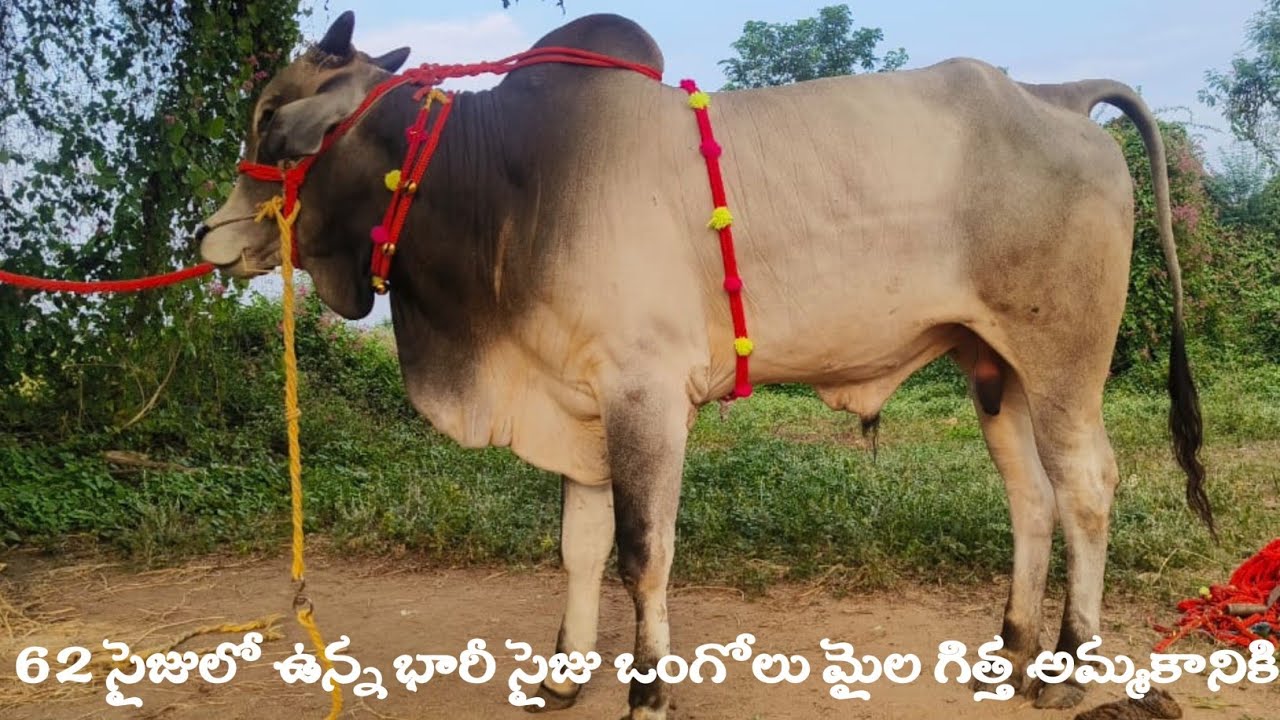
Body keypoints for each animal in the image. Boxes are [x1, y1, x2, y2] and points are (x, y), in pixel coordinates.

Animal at [198, 11, 1211, 718]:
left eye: (272, 120)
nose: (210, 237)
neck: (506, 187)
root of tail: (1057, 94)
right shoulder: (581, 402)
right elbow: (579, 548)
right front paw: (564, 676)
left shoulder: (645, 394)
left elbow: (642, 553)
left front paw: (647, 689)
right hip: (992, 365)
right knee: (1031, 498)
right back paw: (1011, 649)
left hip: (1064, 360)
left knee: (1087, 486)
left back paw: (1069, 665)